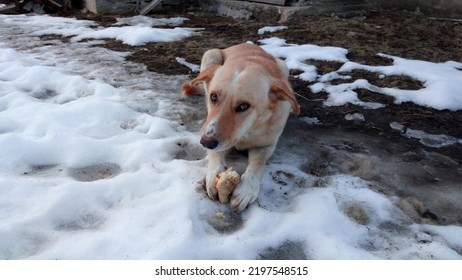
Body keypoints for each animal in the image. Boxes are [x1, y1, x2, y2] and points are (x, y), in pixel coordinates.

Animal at [180, 42, 300, 211]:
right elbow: (215, 154)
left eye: (243, 106)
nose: (205, 143)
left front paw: (247, 188)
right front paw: (213, 173)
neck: (247, 131)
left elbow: (257, 164)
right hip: (211, 54)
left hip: (284, 66)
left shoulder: (266, 146)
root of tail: (246, 44)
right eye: (213, 97)